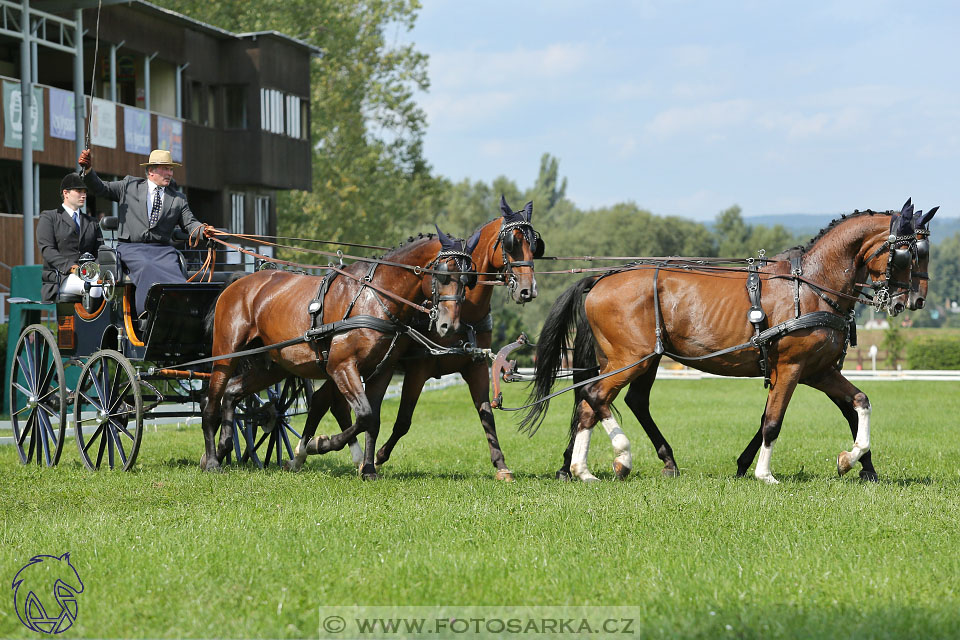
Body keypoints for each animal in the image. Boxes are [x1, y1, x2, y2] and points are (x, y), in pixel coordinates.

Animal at [199, 228, 476, 478]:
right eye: (443, 274)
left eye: (468, 279)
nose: (449, 325)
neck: (375, 296)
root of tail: (240, 282)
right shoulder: (341, 366)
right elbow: (363, 415)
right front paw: (319, 444)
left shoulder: (381, 372)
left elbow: (372, 420)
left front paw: (368, 469)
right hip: (225, 354)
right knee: (210, 402)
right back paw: (212, 461)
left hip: (272, 367)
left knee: (231, 393)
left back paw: (222, 448)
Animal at [286, 196, 540, 480]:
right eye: (512, 243)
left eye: (534, 244)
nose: (528, 290)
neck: (467, 314)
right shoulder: (418, 369)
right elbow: (403, 421)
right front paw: (378, 457)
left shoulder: (475, 366)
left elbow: (486, 413)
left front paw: (501, 465)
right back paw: (314, 451)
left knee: (323, 402)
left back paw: (309, 453)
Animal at [524, 202, 924, 482]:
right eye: (907, 254)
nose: (913, 301)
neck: (811, 286)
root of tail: (600, 278)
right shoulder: (792, 367)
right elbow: (773, 421)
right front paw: (764, 474)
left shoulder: (819, 370)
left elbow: (859, 403)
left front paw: (853, 461)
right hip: (631, 358)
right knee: (596, 397)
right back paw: (615, 458)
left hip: (638, 359)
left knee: (603, 402)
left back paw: (597, 466)